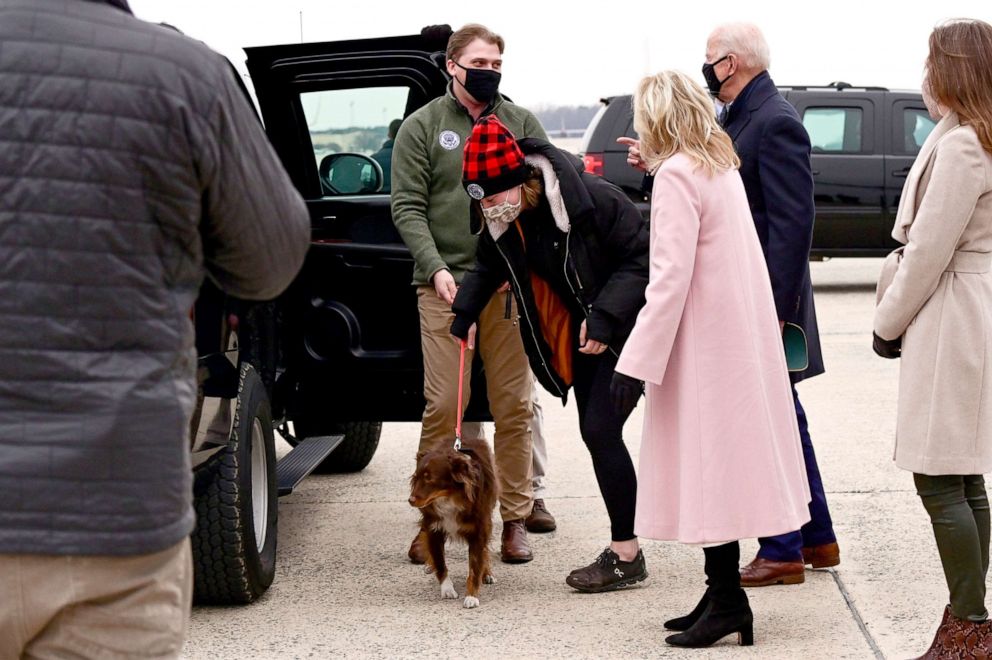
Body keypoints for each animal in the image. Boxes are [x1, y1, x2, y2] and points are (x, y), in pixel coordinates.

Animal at [406, 438, 496, 608]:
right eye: (416, 477)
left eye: (429, 478)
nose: (410, 500)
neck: (450, 497)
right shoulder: (434, 529)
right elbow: (440, 561)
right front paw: (447, 589)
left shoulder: (478, 529)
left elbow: (475, 564)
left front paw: (471, 596)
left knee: (485, 550)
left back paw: (487, 573)